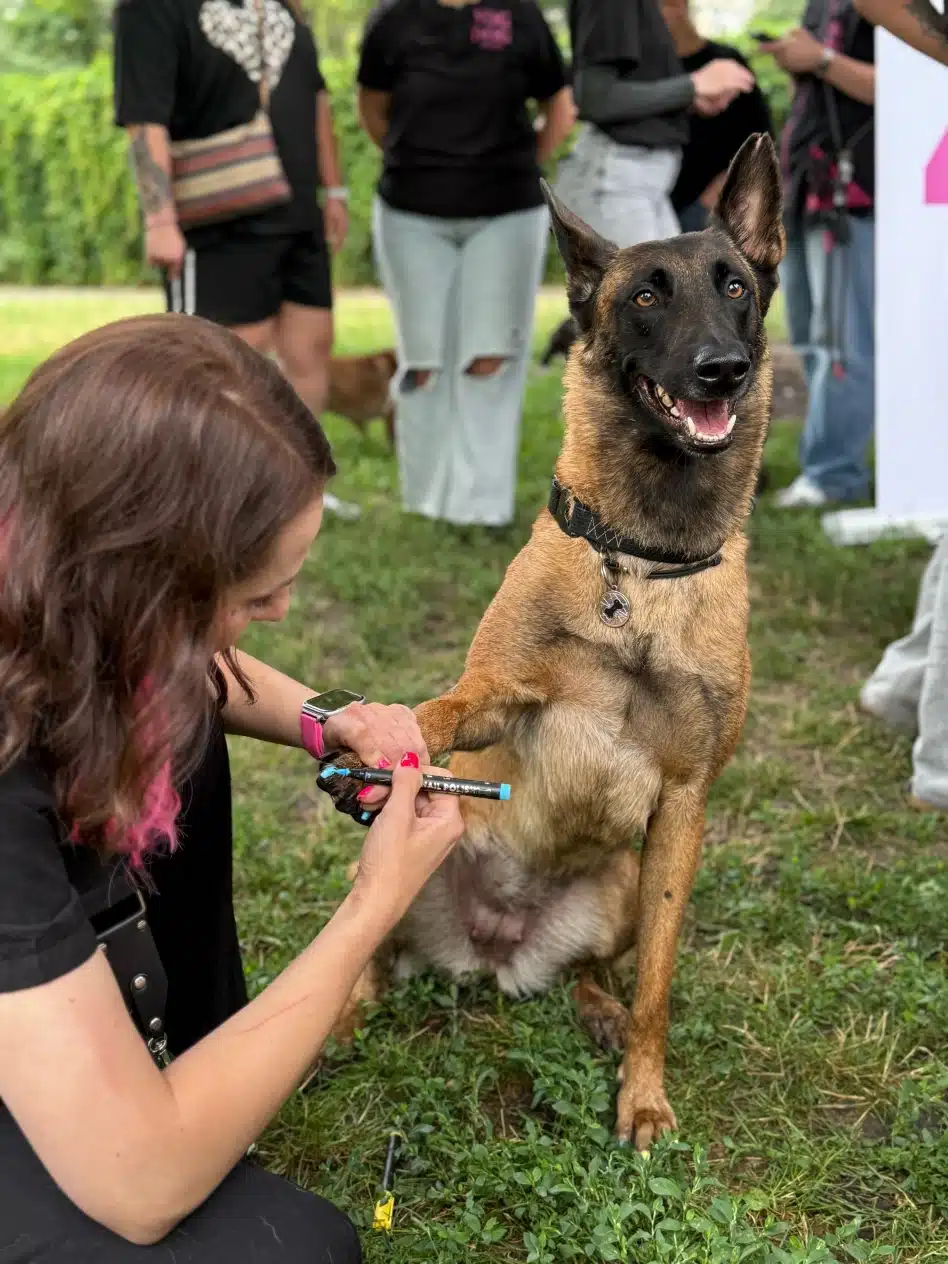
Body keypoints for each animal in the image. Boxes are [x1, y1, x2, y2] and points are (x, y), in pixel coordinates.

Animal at [325, 135, 785, 1150]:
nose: (723, 369)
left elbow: (658, 988)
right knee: (368, 953)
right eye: (646, 296)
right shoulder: (500, 693)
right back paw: (339, 1020)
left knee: (595, 972)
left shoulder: (685, 808)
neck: (640, 567)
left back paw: (596, 1009)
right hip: (401, 859)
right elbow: (441, 709)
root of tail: (494, 952)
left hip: (621, 892)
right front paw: (383, 730)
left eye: (735, 286)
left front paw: (642, 1094)